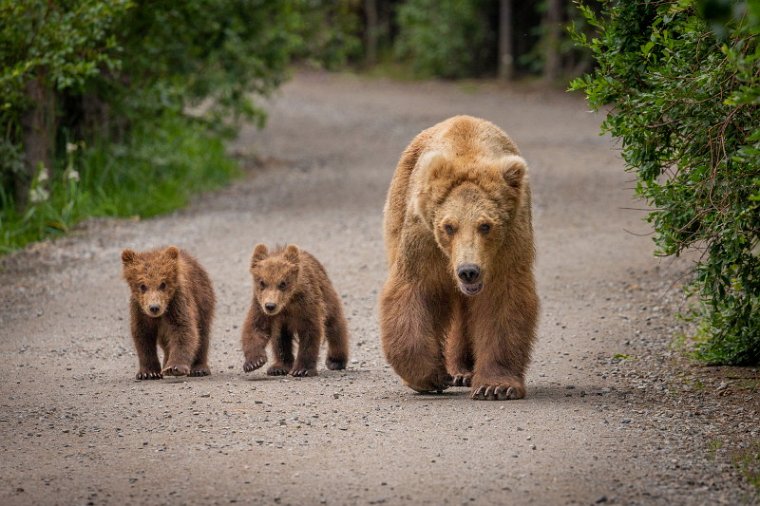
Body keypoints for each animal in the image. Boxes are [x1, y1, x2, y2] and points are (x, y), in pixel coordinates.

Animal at [382, 114, 536, 400]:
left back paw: (464, 370)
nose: (468, 271)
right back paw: (458, 371)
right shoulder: (425, 239)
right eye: (449, 226)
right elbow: (414, 290)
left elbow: (502, 302)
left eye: (485, 225)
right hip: (398, 207)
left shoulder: (508, 245)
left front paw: (496, 385)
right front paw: (430, 376)